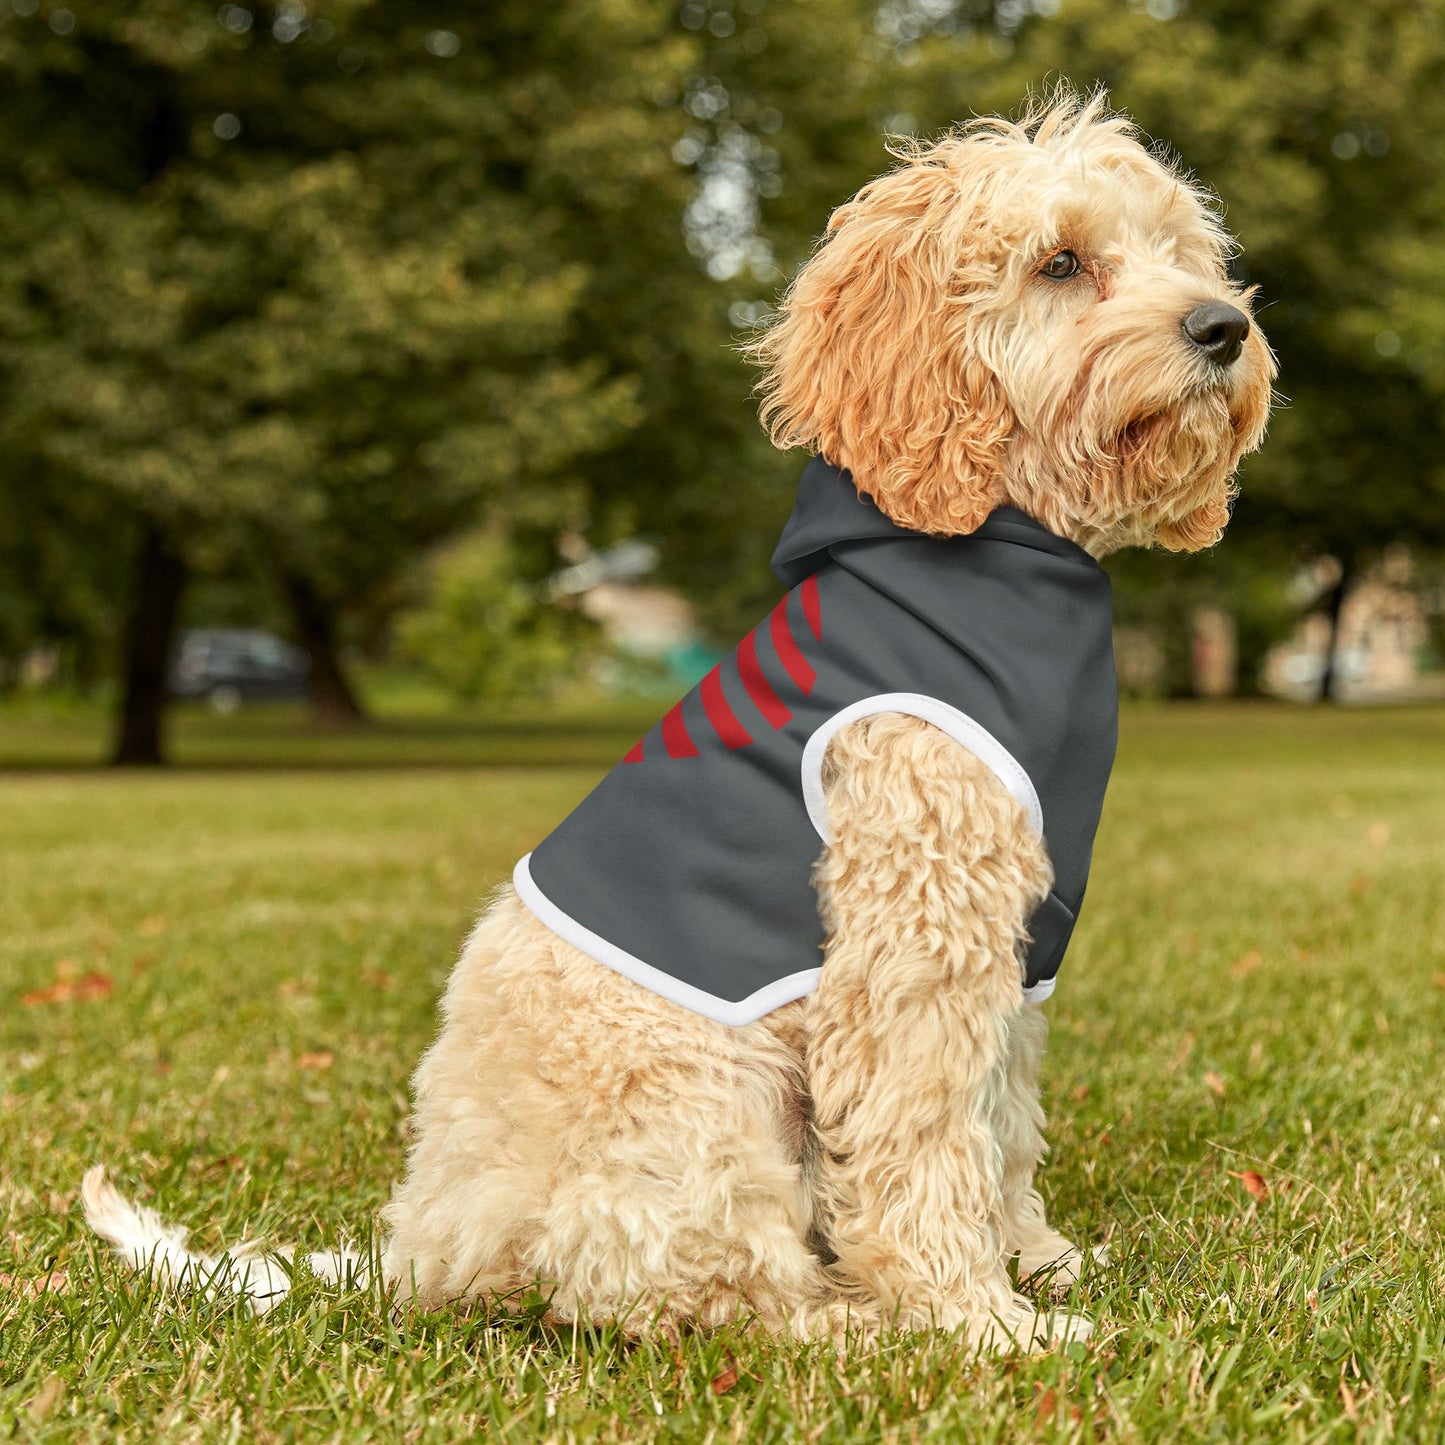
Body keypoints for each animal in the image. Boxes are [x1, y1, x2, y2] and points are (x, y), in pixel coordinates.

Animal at [84, 93, 1271, 1352]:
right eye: (1059, 262)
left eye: (1180, 252)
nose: (1222, 327)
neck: (996, 547)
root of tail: (423, 1246)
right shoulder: (912, 937)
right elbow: (924, 1138)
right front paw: (976, 1318)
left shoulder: (1013, 944)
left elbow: (999, 1121)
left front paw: (1034, 1260)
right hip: (703, 1101)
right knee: (700, 1291)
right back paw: (852, 1322)